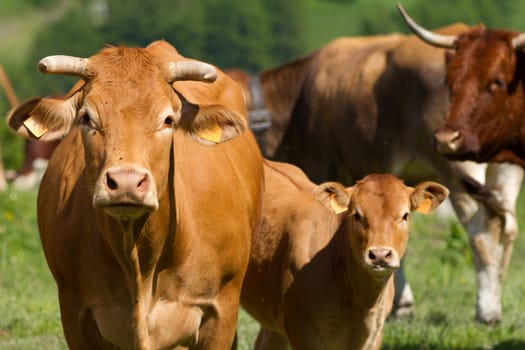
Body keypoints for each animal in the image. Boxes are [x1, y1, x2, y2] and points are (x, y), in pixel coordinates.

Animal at [226, 26, 524, 324]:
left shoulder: (322, 168)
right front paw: (401, 303)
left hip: (455, 165)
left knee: (481, 226)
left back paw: (486, 310)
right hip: (503, 167)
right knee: (507, 226)